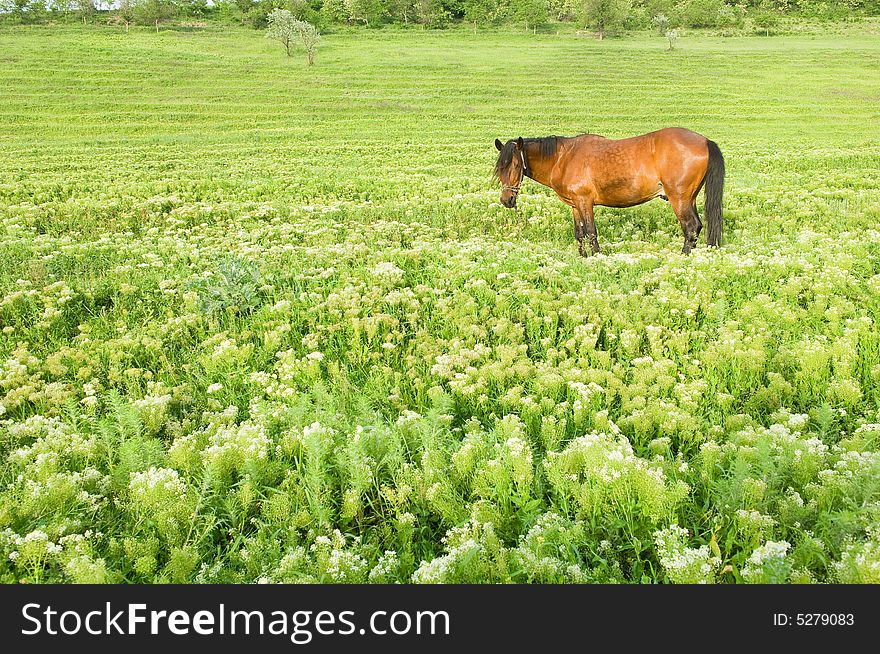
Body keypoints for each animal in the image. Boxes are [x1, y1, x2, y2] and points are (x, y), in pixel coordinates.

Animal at [492, 127, 724, 256]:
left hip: (679, 198)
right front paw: (583, 257)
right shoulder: (575, 205)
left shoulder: (585, 202)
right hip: (690, 198)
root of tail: (705, 141)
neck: (563, 158)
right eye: (499, 168)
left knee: (691, 227)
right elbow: (579, 234)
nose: (506, 200)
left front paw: (597, 257)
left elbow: (591, 232)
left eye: (514, 165)